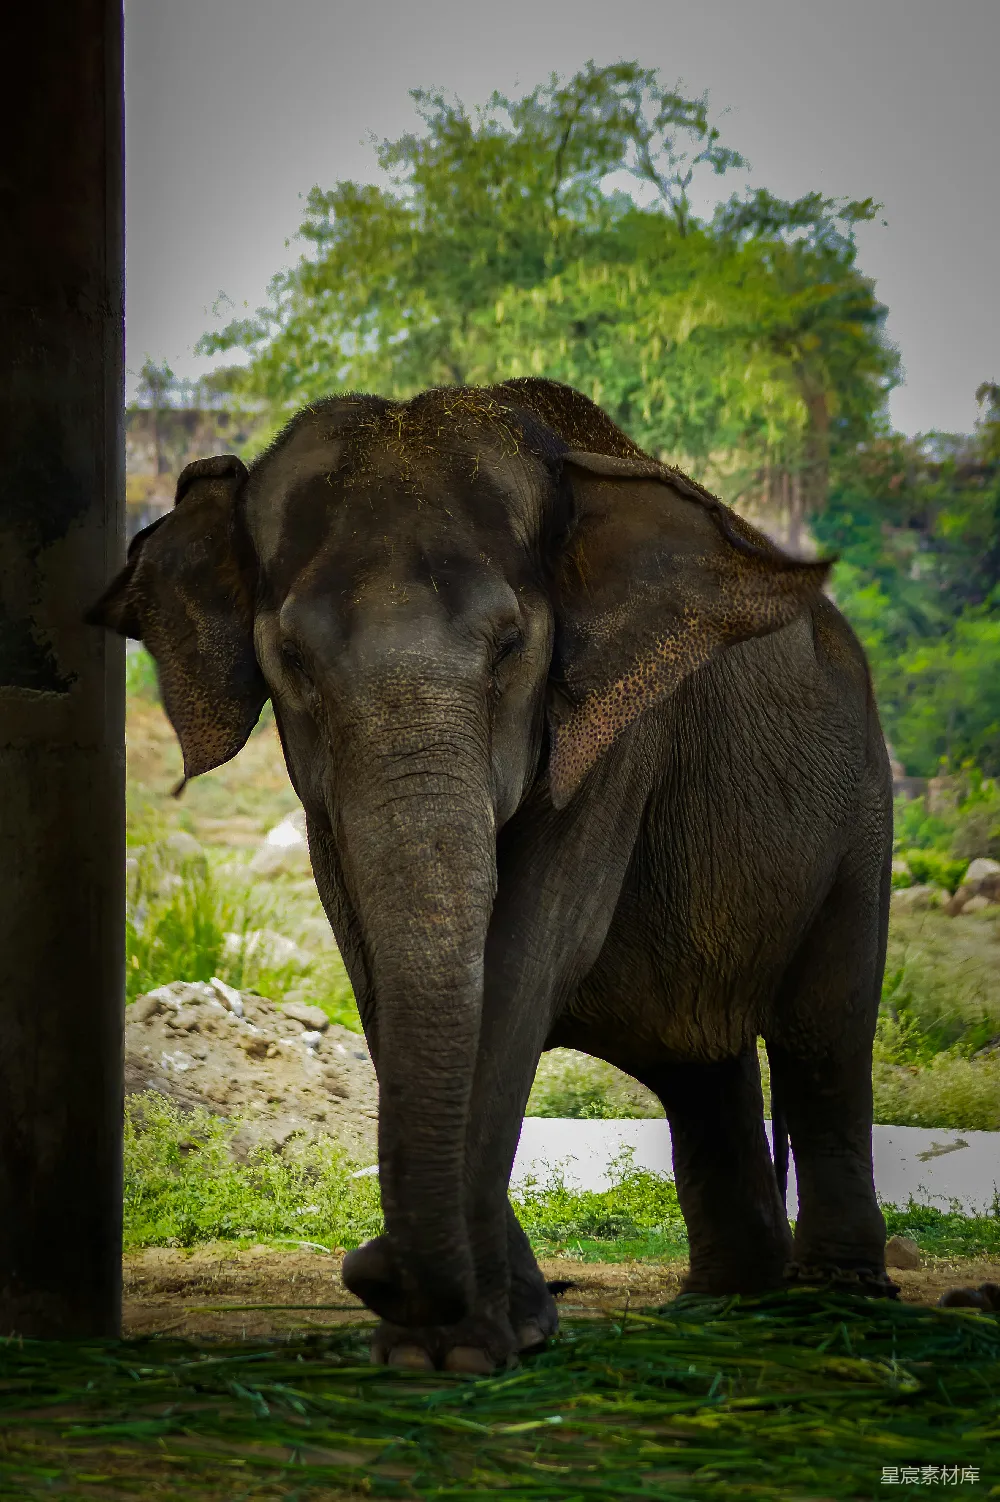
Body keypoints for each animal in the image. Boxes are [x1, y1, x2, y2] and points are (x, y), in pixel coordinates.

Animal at [90, 376, 899, 1373]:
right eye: (293, 661)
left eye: (511, 647)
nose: (367, 1266)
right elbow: (376, 959)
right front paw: (474, 1330)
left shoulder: (615, 735)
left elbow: (530, 952)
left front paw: (462, 1346)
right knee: (699, 1070)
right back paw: (725, 1300)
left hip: (862, 813)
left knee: (825, 1035)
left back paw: (836, 1297)